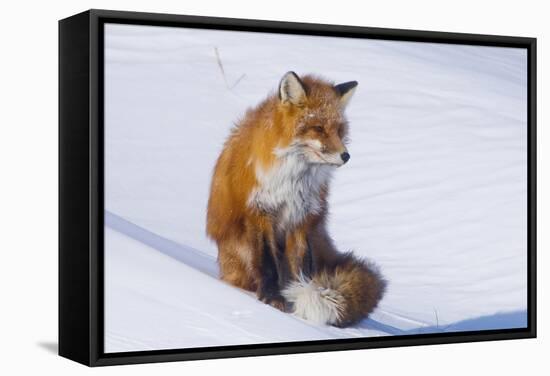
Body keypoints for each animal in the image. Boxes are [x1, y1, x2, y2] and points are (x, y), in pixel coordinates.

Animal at [208, 72, 388, 328]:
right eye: (318, 128)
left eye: (339, 130)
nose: (346, 156)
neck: (293, 180)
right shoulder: (261, 211)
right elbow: (267, 262)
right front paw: (272, 298)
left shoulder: (301, 218)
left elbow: (301, 268)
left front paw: (297, 297)